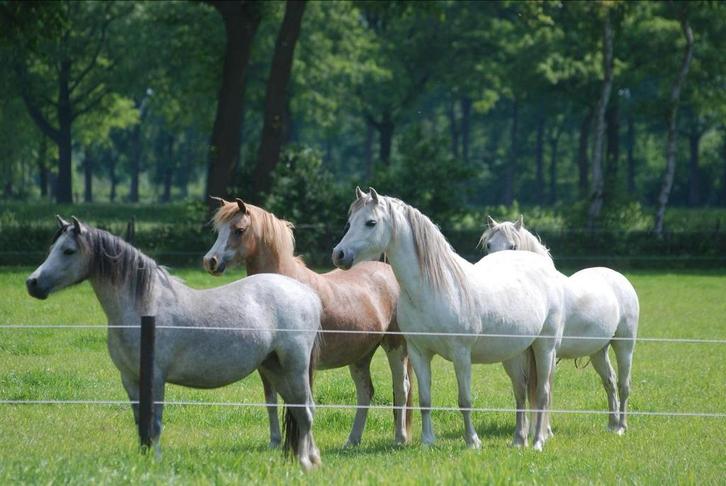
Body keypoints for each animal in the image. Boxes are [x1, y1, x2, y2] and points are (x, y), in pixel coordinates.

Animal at [26, 216, 323, 470]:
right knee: (301, 410)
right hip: (275, 368)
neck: (145, 304)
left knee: (306, 411)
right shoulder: (130, 379)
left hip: (294, 367)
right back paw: (311, 458)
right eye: (53, 248)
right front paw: (144, 459)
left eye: (68, 251)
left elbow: (155, 423)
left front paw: (155, 461)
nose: (32, 284)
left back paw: (305, 462)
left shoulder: (155, 377)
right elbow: (140, 421)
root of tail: (307, 293)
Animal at [203, 197, 412, 448]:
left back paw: (400, 439)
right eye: (219, 230)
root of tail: (389, 272)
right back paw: (352, 440)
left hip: (395, 346)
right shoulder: (266, 364)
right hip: (360, 356)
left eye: (239, 230)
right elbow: (271, 400)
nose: (210, 261)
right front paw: (275, 442)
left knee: (401, 388)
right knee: (365, 392)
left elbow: (303, 403)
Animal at [332, 188, 567, 451]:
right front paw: (427, 441)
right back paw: (518, 440)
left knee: (543, 393)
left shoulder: (461, 355)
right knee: (521, 390)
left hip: (545, 347)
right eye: (349, 222)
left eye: (370, 222)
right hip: (514, 353)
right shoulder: (419, 353)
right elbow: (425, 399)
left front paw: (473, 441)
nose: (339, 255)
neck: (435, 288)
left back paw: (537, 442)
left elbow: (465, 400)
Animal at [480, 216, 639, 434]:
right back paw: (611, 425)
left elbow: (543, 389)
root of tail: (619, 278)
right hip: (598, 352)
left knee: (624, 384)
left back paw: (621, 427)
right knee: (610, 382)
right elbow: (525, 389)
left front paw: (544, 431)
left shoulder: (547, 352)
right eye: (489, 245)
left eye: (513, 247)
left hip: (624, 345)